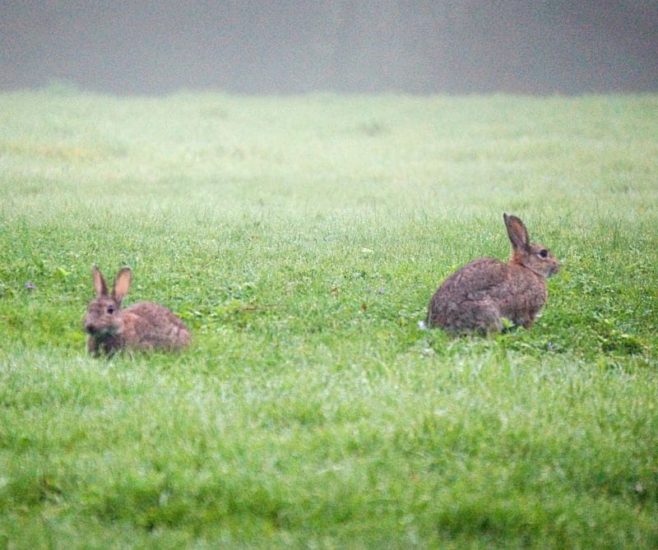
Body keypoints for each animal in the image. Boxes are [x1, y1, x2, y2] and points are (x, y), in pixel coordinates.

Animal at [427, 213, 560, 335]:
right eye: (543, 253)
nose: (558, 266)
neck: (528, 268)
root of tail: (437, 324)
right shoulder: (528, 311)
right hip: (487, 312)